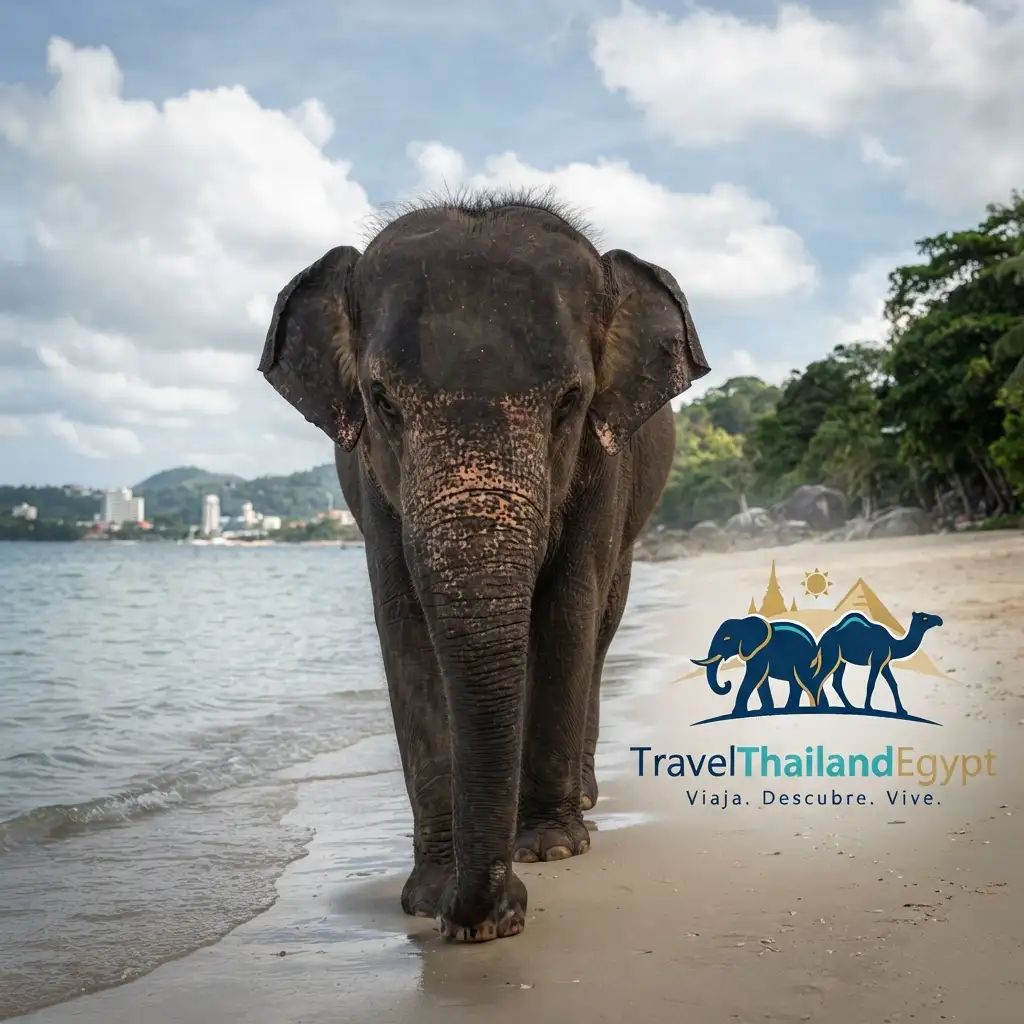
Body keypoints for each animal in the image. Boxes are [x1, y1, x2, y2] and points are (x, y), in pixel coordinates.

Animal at [258, 191, 711, 943]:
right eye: (382, 401)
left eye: (571, 401)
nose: (500, 912)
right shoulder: (370, 483)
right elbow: (403, 626)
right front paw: (430, 895)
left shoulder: (605, 463)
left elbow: (567, 608)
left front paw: (549, 850)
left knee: (601, 626)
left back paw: (582, 800)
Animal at [693, 615, 833, 716]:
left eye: (726, 639)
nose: (727, 683)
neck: (743, 622)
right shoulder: (753, 653)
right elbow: (760, 679)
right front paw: (764, 710)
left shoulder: (759, 653)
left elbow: (754, 676)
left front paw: (737, 713)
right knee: (797, 683)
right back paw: (792, 709)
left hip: (803, 661)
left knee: (806, 681)